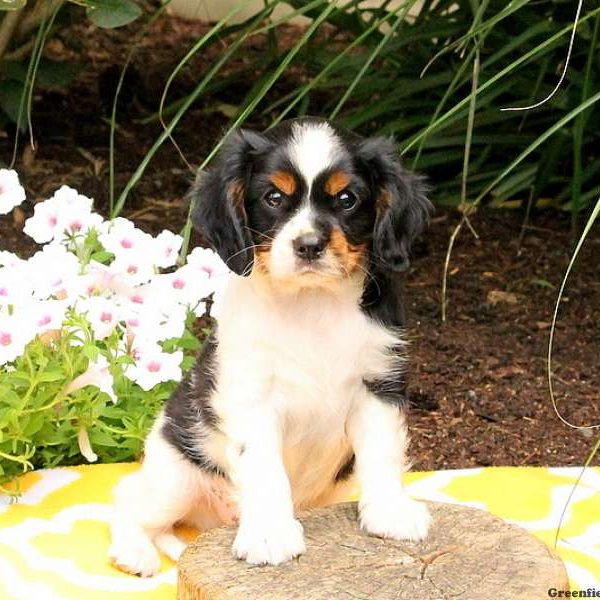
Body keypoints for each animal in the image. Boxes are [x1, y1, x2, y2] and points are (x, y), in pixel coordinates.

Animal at [109, 118, 432, 576]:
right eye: (274, 198)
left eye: (347, 199)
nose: (309, 245)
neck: (311, 303)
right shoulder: (251, 398)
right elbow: (265, 470)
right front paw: (269, 534)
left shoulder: (378, 385)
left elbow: (382, 453)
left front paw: (391, 512)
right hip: (175, 476)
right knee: (128, 500)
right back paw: (134, 552)